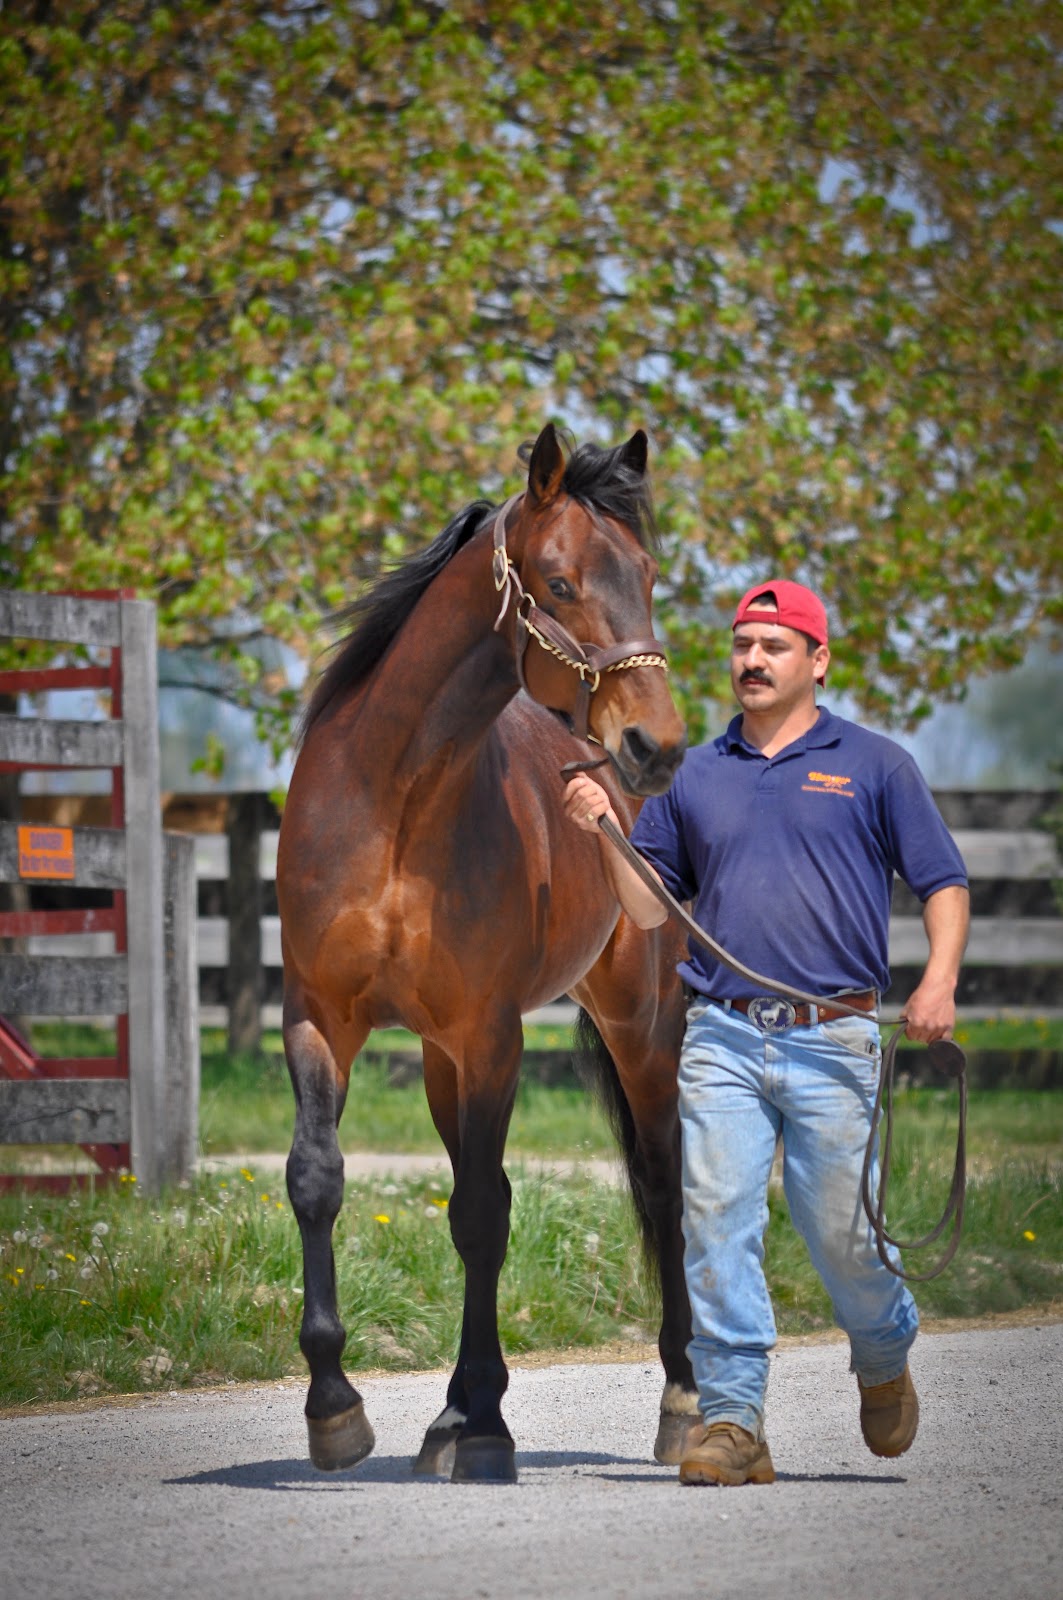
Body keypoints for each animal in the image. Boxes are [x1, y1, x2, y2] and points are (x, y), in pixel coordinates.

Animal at [276, 421, 702, 1483]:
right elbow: (317, 1179)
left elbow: (480, 1213)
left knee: (664, 1185)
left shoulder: (490, 1034)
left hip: (640, 1029)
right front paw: (336, 1407)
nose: (655, 744)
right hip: (440, 1058)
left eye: (646, 573)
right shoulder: (322, 1020)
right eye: (558, 581)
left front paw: (481, 1428)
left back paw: (683, 1399)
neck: (392, 800)